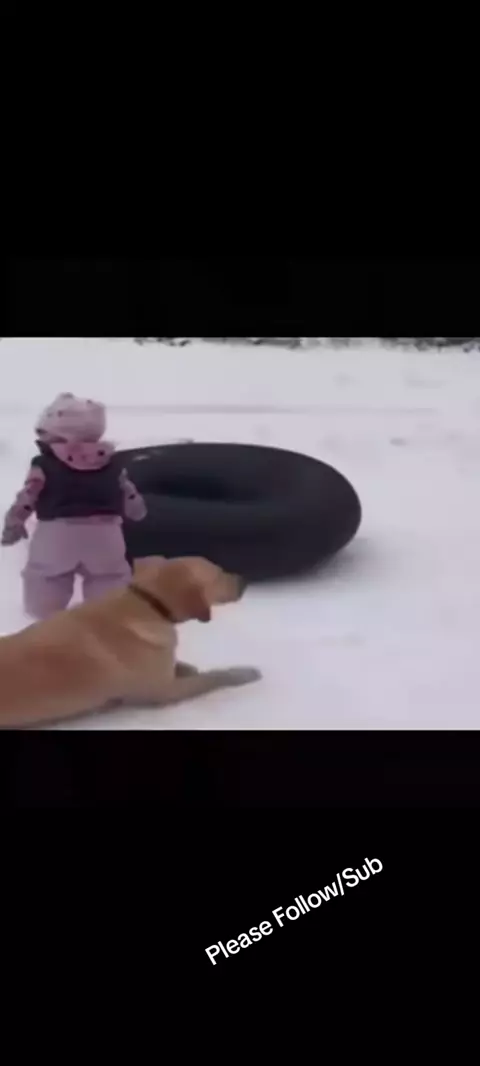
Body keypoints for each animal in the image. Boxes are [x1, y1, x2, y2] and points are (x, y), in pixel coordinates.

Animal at [0, 556, 261, 727]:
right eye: (218, 574)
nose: (245, 580)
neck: (148, 604)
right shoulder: (166, 692)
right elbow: (213, 677)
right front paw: (242, 673)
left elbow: (182, 666)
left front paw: (185, 666)